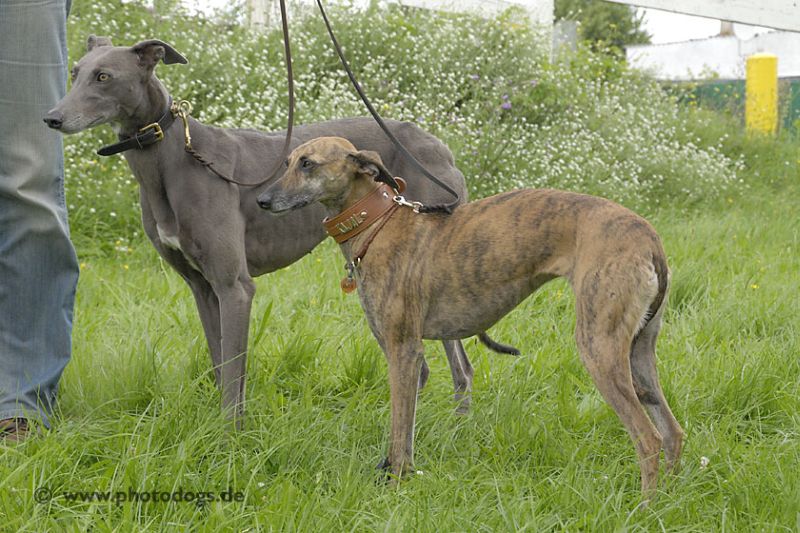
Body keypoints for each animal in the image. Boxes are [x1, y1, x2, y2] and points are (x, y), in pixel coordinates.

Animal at [44, 35, 494, 425]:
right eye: (75, 72)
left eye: (104, 77)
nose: (52, 118)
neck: (172, 160)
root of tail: (437, 143)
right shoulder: (202, 288)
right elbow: (221, 364)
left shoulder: (235, 286)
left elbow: (233, 374)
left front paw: (230, 438)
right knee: (449, 367)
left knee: (442, 367)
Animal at [257, 136, 685, 496]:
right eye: (288, 161)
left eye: (308, 164)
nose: (262, 200)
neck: (379, 223)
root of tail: (648, 236)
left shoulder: (404, 351)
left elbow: (400, 434)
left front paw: (397, 484)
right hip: (639, 351)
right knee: (673, 433)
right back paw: (668, 500)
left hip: (599, 345)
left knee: (649, 439)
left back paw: (643, 509)